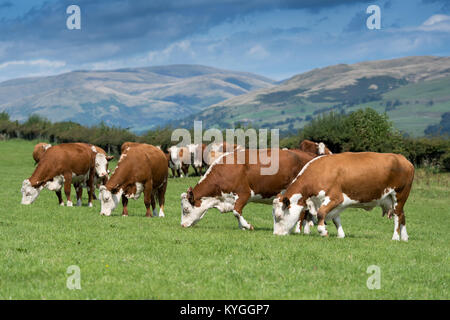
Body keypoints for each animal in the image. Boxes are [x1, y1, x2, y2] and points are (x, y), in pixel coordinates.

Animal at [179, 148, 312, 230]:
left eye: (186, 209)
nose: (182, 225)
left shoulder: (244, 193)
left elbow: (236, 211)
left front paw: (248, 226)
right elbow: (237, 212)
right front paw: (242, 227)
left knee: (302, 213)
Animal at [270, 152, 414, 240]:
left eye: (279, 216)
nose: (276, 234)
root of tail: (403, 159)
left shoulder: (335, 198)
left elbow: (321, 213)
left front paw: (323, 231)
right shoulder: (335, 204)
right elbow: (336, 219)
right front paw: (341, 235)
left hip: (400, 195)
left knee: (397, 216)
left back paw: (395, 237)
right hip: (391, 199)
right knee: (402, 216)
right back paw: (405, 237)